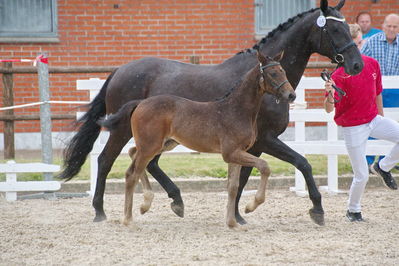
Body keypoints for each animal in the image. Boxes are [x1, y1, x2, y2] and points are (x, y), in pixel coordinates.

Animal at [101, 51, 296, 228]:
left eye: (283, 71)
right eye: (273, 73)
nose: (291, 95)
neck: (236, 110)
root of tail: (140, 103)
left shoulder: (236, 154)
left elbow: (232, 187)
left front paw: (232, 222)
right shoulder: (231, 153)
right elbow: (264, 166)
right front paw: (250, 206)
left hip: (161, 144)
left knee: (132, 155)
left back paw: (144, 204)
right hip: (150, 146)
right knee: (131, 174)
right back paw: (128, 219)